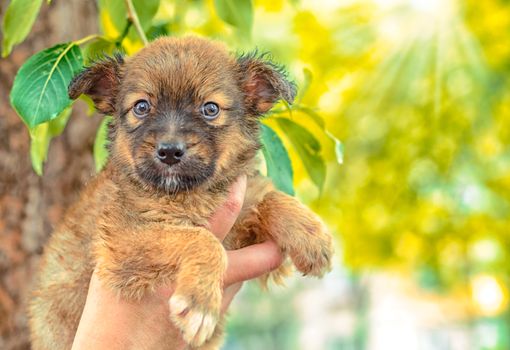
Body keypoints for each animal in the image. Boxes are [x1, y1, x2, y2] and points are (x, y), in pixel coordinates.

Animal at [27, 37, 332, 348]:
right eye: (141, 107)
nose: (170, 151)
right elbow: (201, 239)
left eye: (210, 109)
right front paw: (200, 303)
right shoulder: (125, 235)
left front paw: (311, 235)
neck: (191, 194)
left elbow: (266, 197)